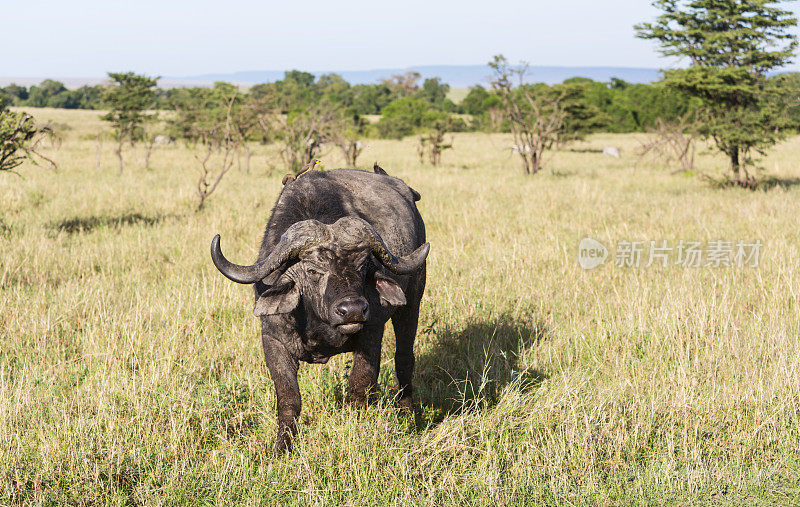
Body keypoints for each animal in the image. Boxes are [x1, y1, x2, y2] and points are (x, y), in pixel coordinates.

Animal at [209, 165, 428, 454]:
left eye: (362, 266)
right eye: (313, 270)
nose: (353, 310)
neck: (317, 324)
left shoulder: (372, 332)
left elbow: (360, 384)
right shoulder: (273, 340)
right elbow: (289, 397)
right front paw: (282, 447)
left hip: (412, 301)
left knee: (404, 359)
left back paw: (408, 416)